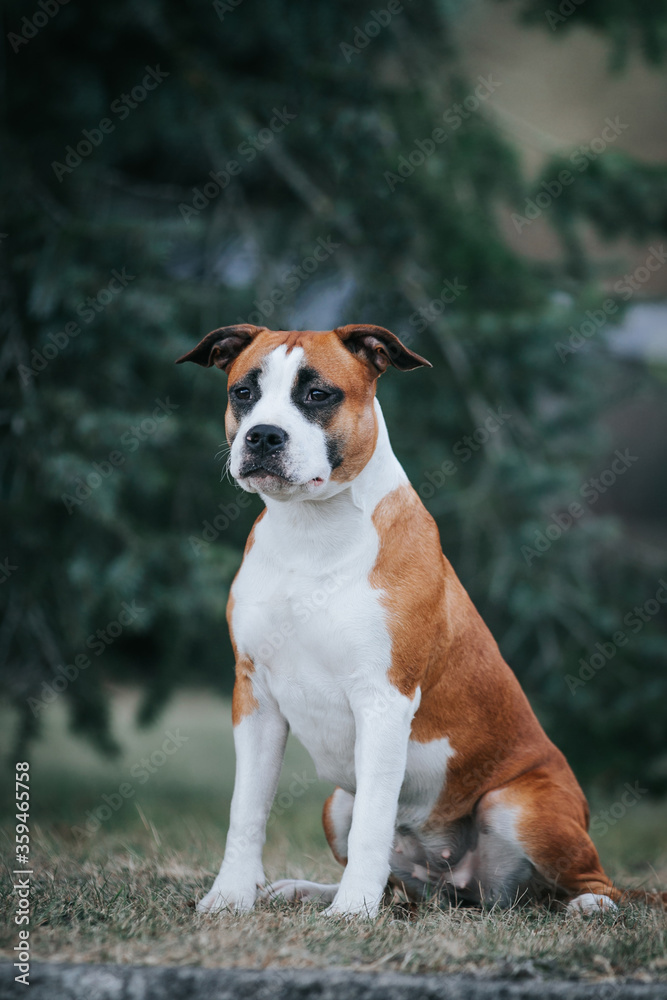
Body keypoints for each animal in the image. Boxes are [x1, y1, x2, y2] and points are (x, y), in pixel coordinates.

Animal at [177, 324, 667, 916]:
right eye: (243, 392)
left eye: (318, 395)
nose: (263, 436)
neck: (311, 531)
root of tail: (462, 886)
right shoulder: (255, 698)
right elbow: (246, 811)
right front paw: (230, 897)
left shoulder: (383, 699)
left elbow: (373, 820)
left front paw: (351, 913)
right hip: (336, 803)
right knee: (399, 881)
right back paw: (309, 890)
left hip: (518, 805)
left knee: (595, 884)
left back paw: (589, 906)